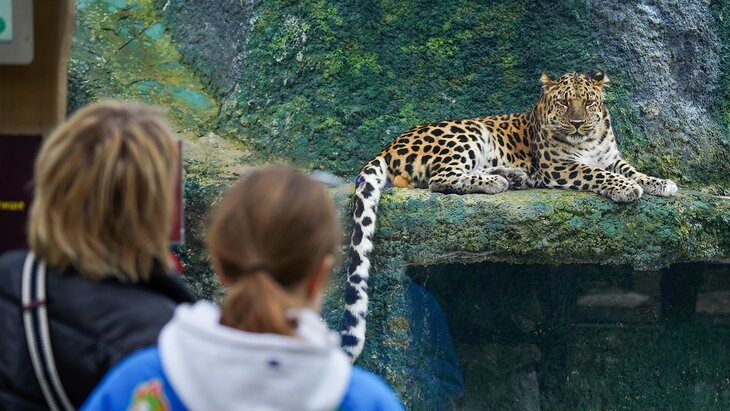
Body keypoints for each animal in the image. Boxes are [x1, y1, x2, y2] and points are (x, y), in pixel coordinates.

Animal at [339, 70, 678, 360]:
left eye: (588, 102)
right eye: (564, 102)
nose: (578, 123)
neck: (589, 139)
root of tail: (390, 145)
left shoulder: (611, 158)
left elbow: (631, 169)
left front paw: (660, 183)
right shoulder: (560, 166)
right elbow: (596, 173)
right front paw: (626, 188)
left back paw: (512, 175)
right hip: (469, 132)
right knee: (441, 179)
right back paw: (497, 182)